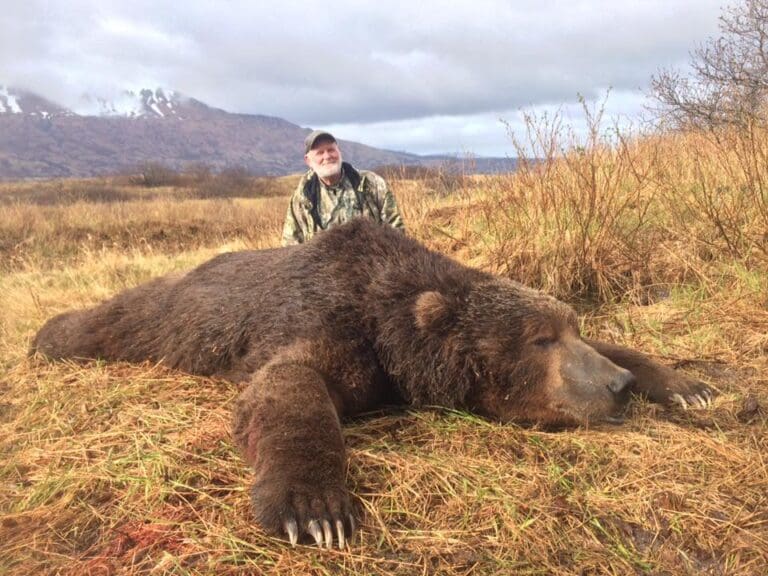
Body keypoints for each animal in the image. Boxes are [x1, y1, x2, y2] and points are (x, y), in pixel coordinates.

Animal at [31, 218, 715, 549]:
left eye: (569, 326)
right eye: (539, 339)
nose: (616, 387)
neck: (390, 313)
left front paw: (688, 383)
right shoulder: (323, 322)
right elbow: (287, 386)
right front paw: (314, 510)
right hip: (168, 317)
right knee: (112, 320)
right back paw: (46, 334)